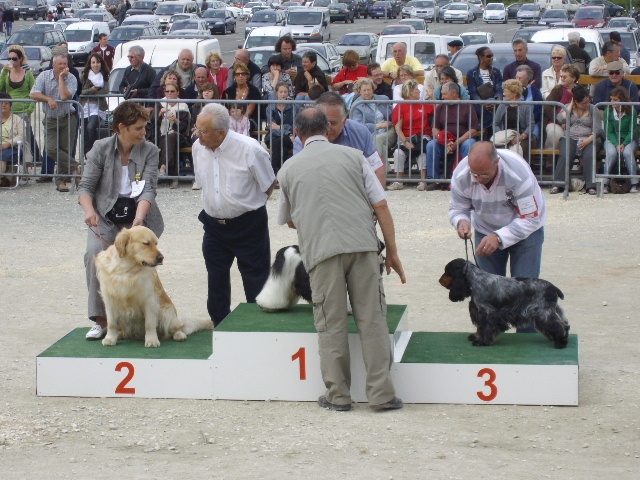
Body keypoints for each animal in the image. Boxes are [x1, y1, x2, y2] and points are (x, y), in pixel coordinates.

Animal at [439, 258, 570, 348]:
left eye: (447, 271)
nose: (439, 281)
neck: (475, 280)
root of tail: (553, 288)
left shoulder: (487, 312)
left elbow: (485, 327)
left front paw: (481, 341)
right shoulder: (479, 312)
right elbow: (480, 328)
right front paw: (476, 337)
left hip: (543, 312)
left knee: (558, 326)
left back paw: (560, 342)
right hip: (553, 310)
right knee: (564, 323)